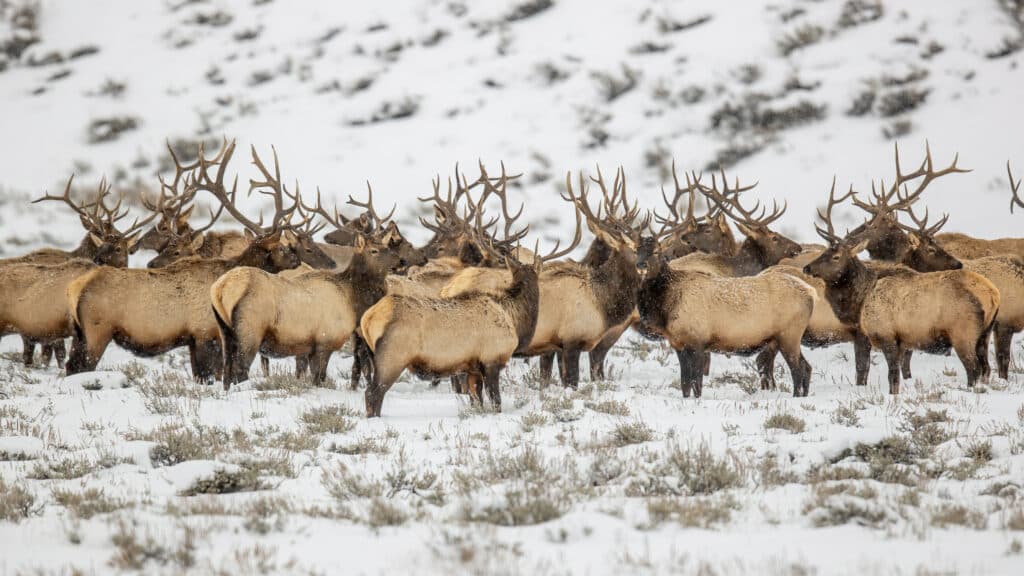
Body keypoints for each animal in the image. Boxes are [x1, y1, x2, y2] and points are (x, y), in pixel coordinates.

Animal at [65, 141, 335, 380]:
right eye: (281, 247)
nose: (296, 260)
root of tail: (75, 288)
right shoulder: (206, 333)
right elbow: (210, 375)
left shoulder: (195, 339)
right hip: (97, 330)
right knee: (79, 366)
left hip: (79, 334)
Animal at [803, 178, 1000, 394]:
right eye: (824, 252)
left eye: (836, 256)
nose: (807, 267)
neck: (860, 303)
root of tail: (992, 294)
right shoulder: (901, 341)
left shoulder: (886, 335)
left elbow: (889, 376)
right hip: (985, 333)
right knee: (986, 368)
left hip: (963, 332)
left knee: (974, 369)